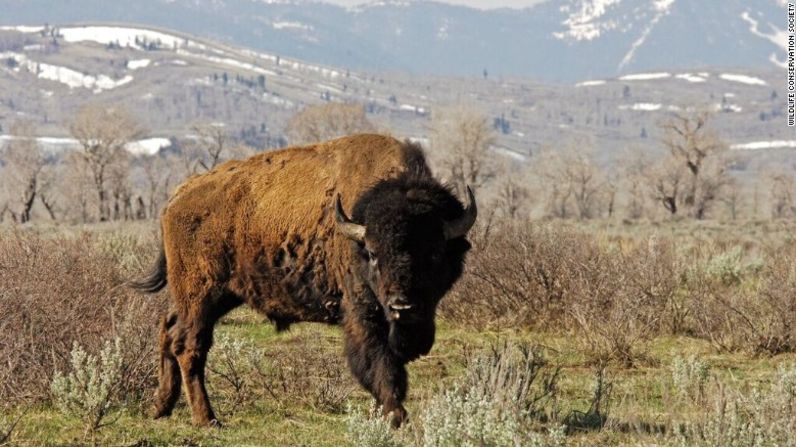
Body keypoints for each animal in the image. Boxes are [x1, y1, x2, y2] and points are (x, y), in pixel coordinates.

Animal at [131, 133, 476, 428]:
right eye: (373, 253)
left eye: (434, 253)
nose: (402, 306)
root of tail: (177, 198)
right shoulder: (363, 313)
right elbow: (381, 364)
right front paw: (396, 416)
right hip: (201, 294)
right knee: (189, 346)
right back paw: (207, 419)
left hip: (215, 296)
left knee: (168, 329)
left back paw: (160, 407)